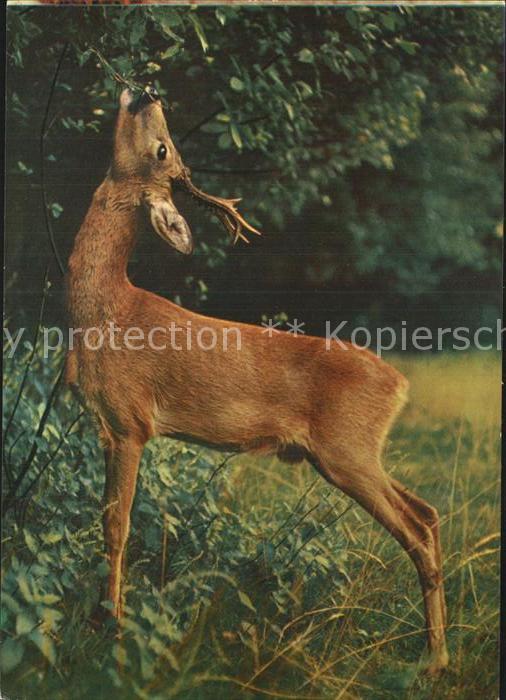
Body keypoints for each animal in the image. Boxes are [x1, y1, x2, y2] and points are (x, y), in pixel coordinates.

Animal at [66, 85, 449, 675]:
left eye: (162, 147)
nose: (147, 92)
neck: (106, 310)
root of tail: (400, 385)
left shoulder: (130, 422)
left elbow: (117, 524)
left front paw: (112, 625)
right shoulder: (107, 426)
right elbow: (107, 517)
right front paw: (99, 617)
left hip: (347, 450)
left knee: (416, 532)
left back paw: (434, 660)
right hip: (348, 453)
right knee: (427, 514)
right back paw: (435, 652)